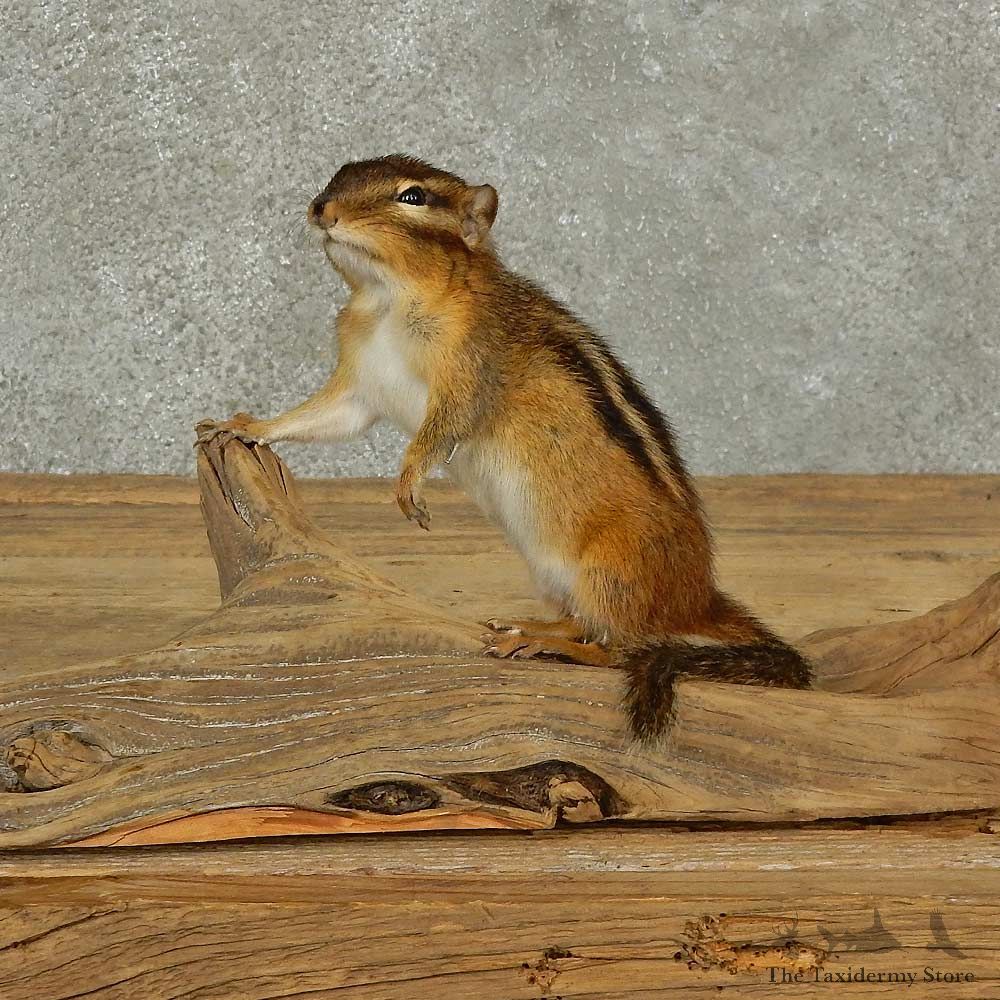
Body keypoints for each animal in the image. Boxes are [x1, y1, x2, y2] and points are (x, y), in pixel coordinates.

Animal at [197, 154, 811, 741]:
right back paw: (534, 626)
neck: (386, 301)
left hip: (609, 572)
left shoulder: (471, 367)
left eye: (413, 196)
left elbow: (443, 428)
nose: (322, 209)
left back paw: (544, 645)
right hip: (551, 574)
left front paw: (409, 481)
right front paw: (245, 425)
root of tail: (698, 596)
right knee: (586, 624)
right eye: (338, 175)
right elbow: (322, 419)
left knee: (616, 649)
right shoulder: (359, 383)